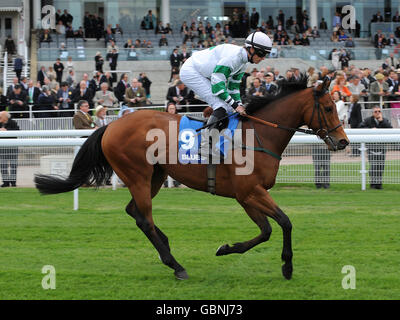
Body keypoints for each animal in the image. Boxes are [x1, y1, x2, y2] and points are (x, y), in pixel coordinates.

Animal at [35, 77, 350, 280]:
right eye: (329, 108)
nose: (343, 142)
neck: (258, 135)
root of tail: (110, 126)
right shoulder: (250, 192)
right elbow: (284, 222)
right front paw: (287, 266)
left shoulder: (247, 195)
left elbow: (266, 230)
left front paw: (226, 248)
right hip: (137, 174)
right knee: (144, 218)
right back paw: (175, 265)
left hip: (155, 175)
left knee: (135, 212)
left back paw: (166, 247)